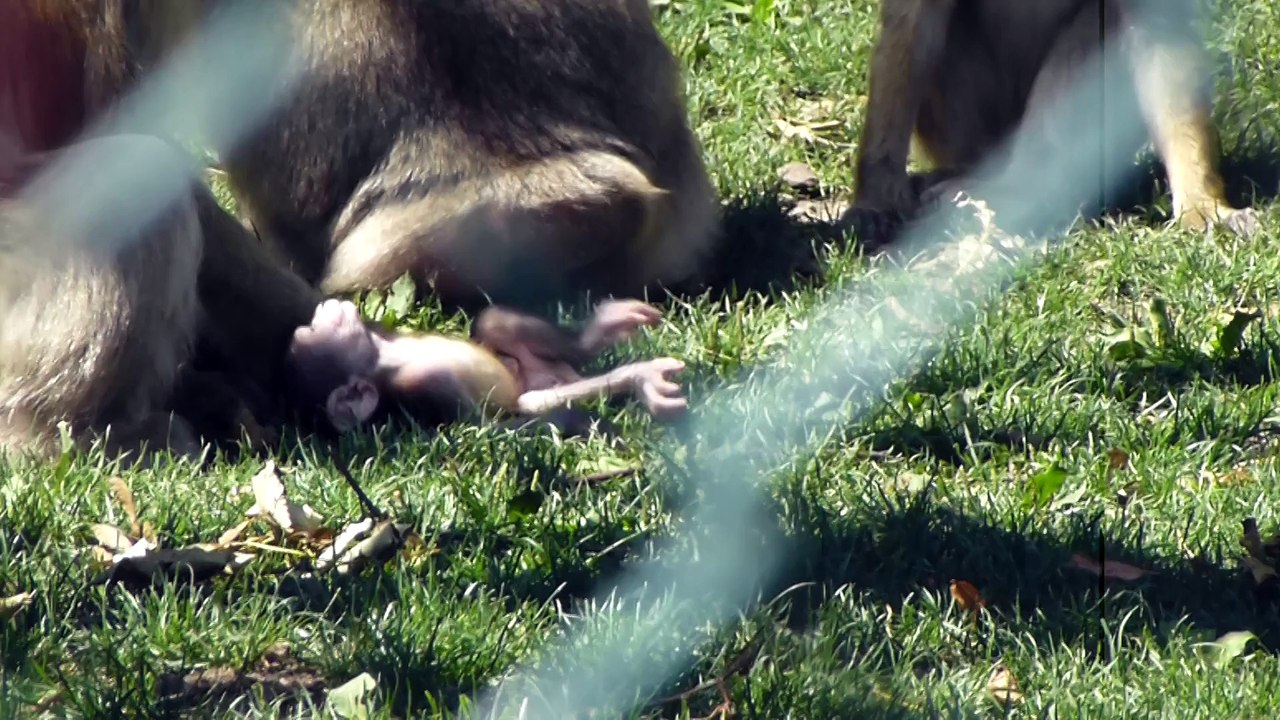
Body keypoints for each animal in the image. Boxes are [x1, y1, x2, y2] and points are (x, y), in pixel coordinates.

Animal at [285, 298, 689, 435]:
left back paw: (595, 333)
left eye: (308, 329)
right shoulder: (426, 385)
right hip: (538, 383)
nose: (311, 320)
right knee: (532, 400)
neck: (383, 356)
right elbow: (488, 429)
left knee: (493, 321)